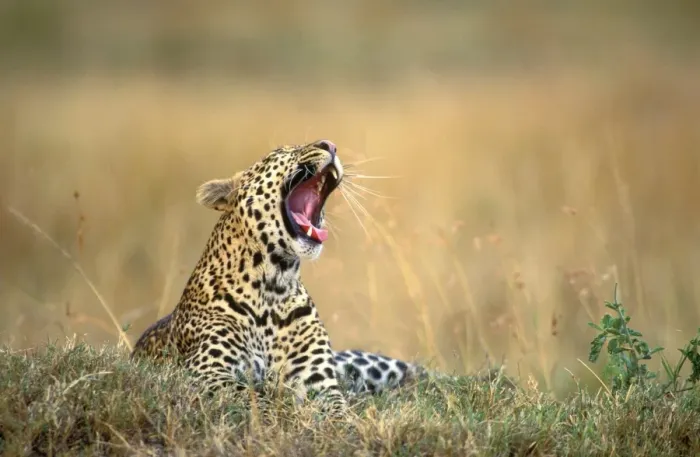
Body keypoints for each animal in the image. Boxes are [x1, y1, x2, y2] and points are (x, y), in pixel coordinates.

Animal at [130, 139, 426, 416]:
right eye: (281, 152)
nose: (330, 145)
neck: (275, 283)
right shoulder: (209, 370)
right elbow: (257, 399)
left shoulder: (318, 380)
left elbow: (338, 411)